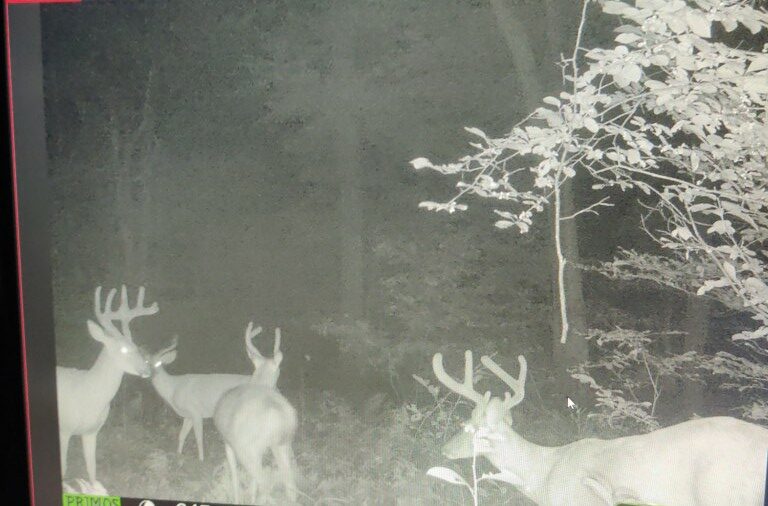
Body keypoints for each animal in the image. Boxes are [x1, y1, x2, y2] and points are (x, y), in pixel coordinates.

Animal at [56, 285, 157, 486]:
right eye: (123, 349)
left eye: (136, 346)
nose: (147, 369)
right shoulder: (64, 429)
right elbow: (63, 468)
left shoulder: (92, 431)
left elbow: (92, 469)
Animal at [213, 322, 298, 505]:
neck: (259, 382)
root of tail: (278, 414)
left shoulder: (228, 442)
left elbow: (234, 476)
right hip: (282, 444)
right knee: (289, 483)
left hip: (249, 448)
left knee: (265, 483)